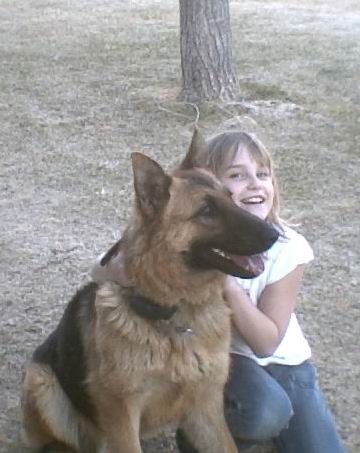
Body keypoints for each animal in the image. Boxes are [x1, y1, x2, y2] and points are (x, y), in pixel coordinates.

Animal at [21, 129, 278, 450]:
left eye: (230, 197)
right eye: (206, 211)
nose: (274, 234)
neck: (178, 315)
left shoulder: (206, 408)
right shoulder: (122, 416)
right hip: (42, 381)